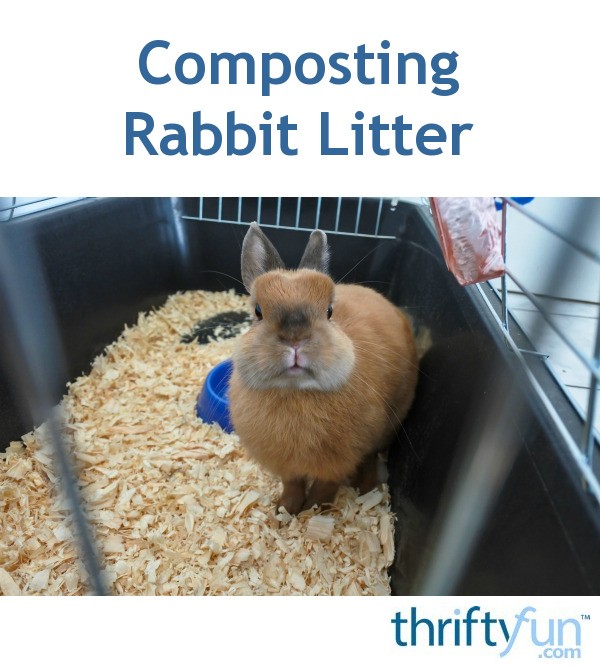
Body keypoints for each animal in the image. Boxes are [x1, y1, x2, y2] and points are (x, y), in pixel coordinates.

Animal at [228, 223, 418, 515]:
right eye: (258, 311)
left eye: (329, 311)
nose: (295, 339)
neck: (295, 392)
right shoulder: (287, 466)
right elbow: (292, 486)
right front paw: (284, 511)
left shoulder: (338, 463)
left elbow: (324, 488)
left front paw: (314, 512)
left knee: (371, 458)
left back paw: (366, 489)